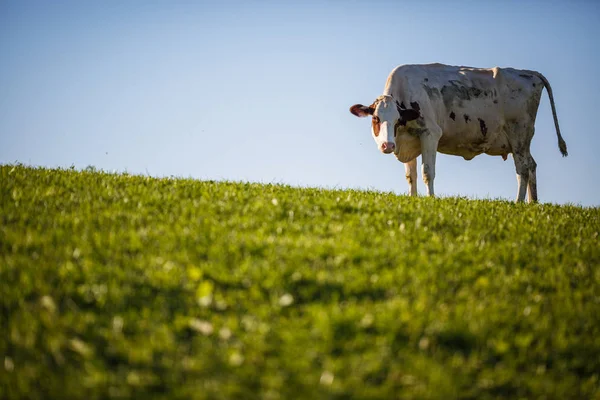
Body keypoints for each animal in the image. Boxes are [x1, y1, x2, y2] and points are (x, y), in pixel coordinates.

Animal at [350, 64, 564, 205]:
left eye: (397, 120)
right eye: (376, 119)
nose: (388, 145)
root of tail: (528, 73)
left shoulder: (430, 133)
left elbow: (427, 171)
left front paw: (431, 199)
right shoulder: (407, 140)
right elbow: (411, 176)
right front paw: (413, 198)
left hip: (518, 133)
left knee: (523, 169)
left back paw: (518, 203)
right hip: (522, 140)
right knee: (532, 165)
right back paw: (532, 203)